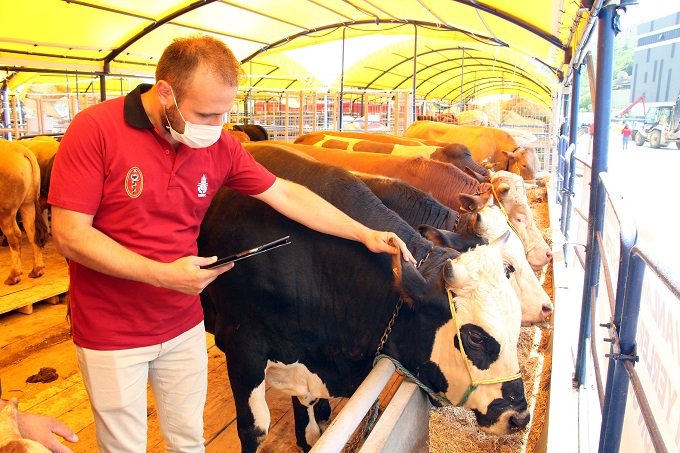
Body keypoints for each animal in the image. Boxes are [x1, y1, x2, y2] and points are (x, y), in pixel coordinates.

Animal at [0, 139, 47, 284]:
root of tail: (20, 150)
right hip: (28, 203)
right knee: (32, 231)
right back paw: (37, 270)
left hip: (5, 211)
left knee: (15, 236)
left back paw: (14, 275)